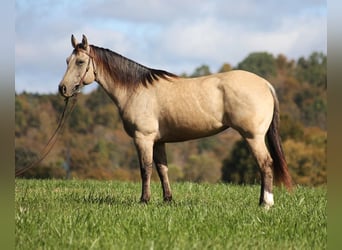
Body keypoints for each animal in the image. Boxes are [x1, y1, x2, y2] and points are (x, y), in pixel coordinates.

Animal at [58, 34, 292, 208]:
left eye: (80, 62)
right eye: (67, 61)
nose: (63, 89)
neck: (135, 89)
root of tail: (265, 84)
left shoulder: (143, 138)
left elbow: (145, 169)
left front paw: (144, 200)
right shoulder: (159, 141)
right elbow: (163, 169)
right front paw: (168, 200)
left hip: (253, 136)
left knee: (266, 164)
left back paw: (266, 203)